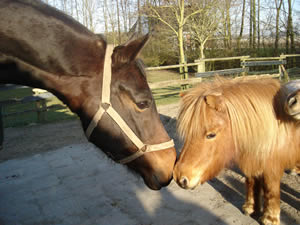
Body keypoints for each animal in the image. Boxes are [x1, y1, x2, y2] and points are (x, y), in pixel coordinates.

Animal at [172, 76, 300, 224]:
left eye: (211, 135)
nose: (180, 178)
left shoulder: (271, 169)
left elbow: (270, 190)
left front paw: (269, 218)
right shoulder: (252, 161)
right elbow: (251, 182)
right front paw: (250, 207)